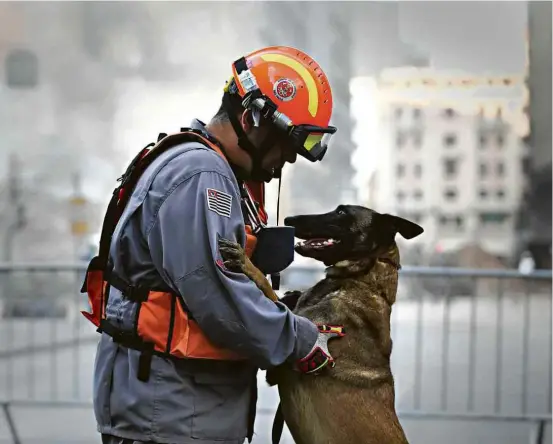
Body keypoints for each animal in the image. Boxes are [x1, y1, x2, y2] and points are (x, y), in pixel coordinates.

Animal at [217, 205, 422, 444]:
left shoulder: (284, 359)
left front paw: (246, 263)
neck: (362, 280)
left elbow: (268, 291)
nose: (289, 219)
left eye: (342, 212)